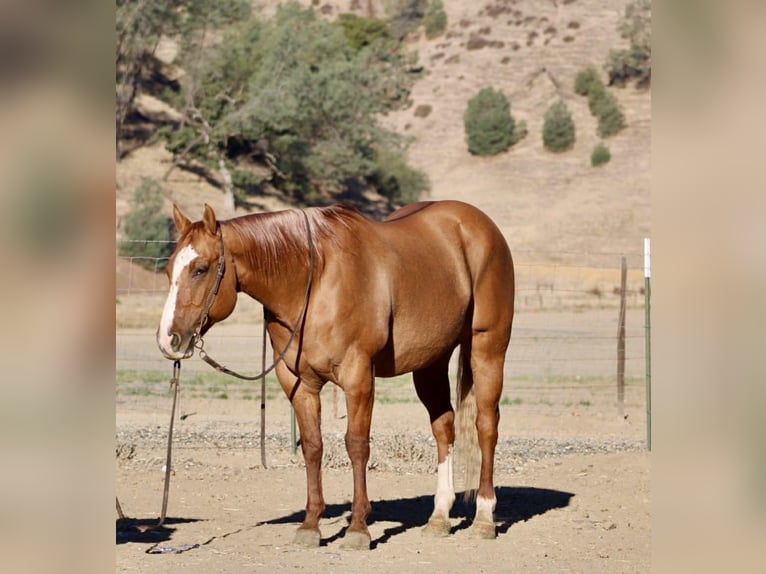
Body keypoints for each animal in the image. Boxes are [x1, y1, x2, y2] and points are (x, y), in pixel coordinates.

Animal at [157, 200, 515, 549]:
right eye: (168, 269)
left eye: (200, 269)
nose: (168, 340)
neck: (314, 282)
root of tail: (480, 225)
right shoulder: (299, 383)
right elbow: (312, 447)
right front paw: (310, 525)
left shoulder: (358, 376)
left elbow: (356, 445)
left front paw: (358, 529)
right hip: (431, 363)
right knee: (444, 428)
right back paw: (439, 517)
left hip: (487, 350)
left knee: (486, 426)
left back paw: (484, 518)